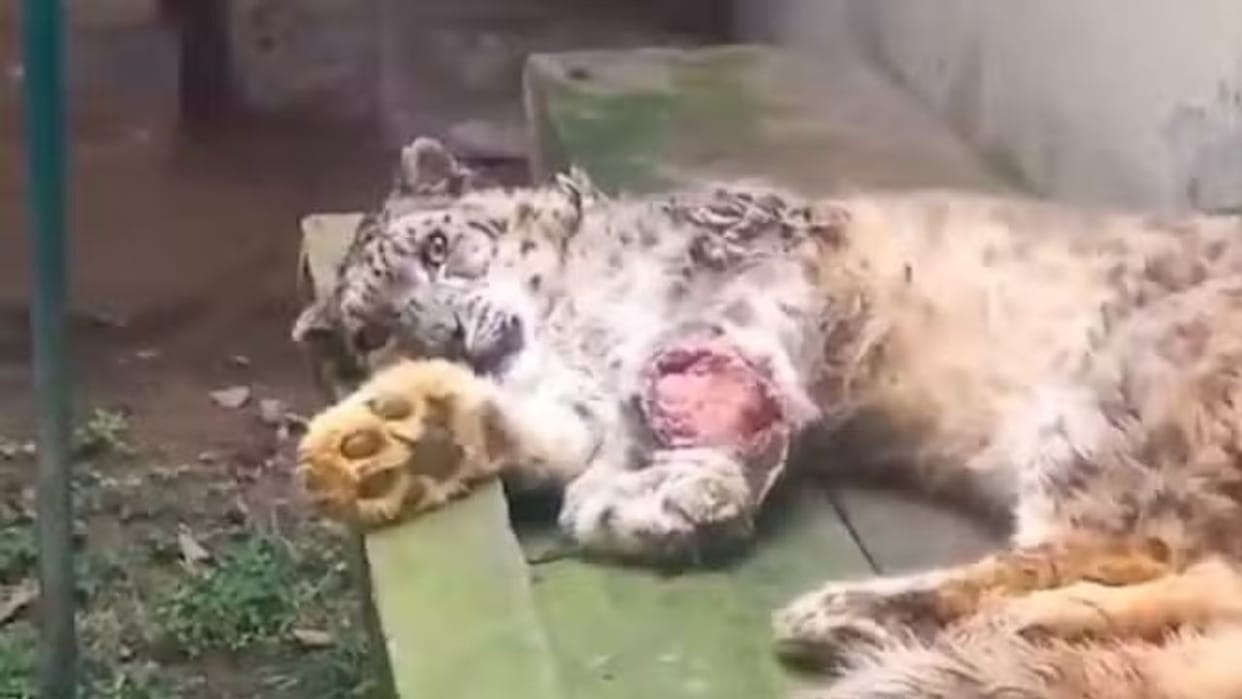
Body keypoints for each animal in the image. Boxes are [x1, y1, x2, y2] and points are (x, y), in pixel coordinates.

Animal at [293, 136, 1242, 698]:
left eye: (439, 245)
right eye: (372, 331)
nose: (454, 334)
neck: (574, 326)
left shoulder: (746, 272)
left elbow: (715, 361)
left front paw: (676, 490)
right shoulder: (573, 395)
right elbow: (548, 429)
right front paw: (401, 435)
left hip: (1120, 397)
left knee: (1122, 548)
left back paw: (862, 611)